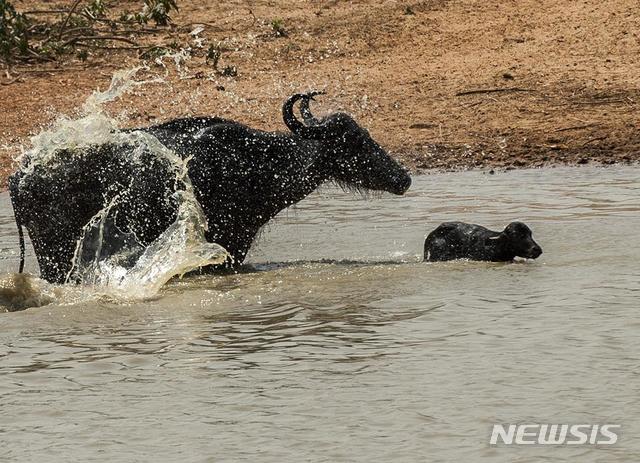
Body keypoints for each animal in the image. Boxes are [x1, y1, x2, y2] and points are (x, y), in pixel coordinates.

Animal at [10, 93, 412, 284]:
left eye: (364, 133)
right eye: (353, 142)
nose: (404, 178)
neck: (257, 161)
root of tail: (19, 174)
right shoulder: (228, 242)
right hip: (55, 250)